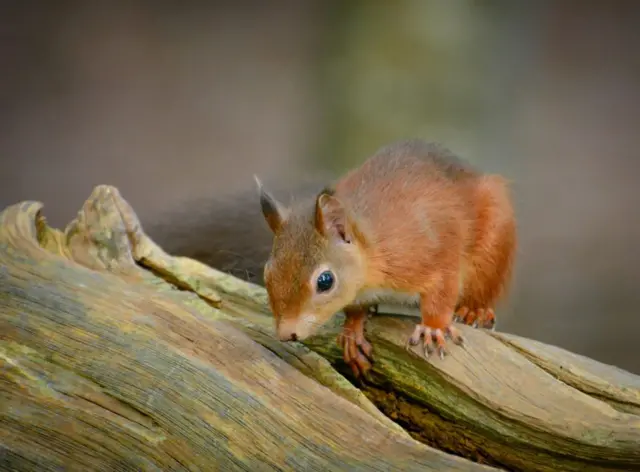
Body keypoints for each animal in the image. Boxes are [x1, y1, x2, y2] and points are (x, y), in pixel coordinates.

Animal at [255, 138, 516, 378]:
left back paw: (475, 310)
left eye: (325, 281)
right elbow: (355, 310)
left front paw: (433, 328)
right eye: (267, 274)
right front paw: (353, 330)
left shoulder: (432, 252)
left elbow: (442, 291)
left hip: (493, 246)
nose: (286, 334)